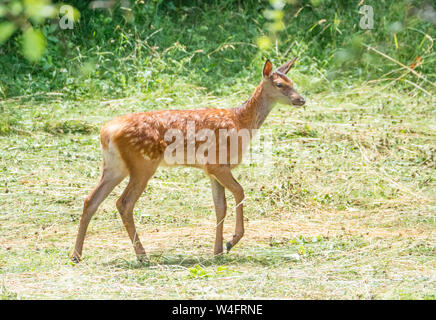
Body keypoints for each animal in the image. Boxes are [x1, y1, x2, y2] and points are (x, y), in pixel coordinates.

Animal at [70, 57, 304, 262]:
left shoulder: (211, 170)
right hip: (142, 164)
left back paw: (76, 255)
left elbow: (220, 206)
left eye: (293, 82)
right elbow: (239, 192)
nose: (301, 99)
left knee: (91, 199)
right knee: (123, 203)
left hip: (114, 166)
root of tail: (106, 132)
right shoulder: (217, 163)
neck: (241, 122)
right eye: (280, 84)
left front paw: (218, 251)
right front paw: (232, 241)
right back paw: (142, 256)